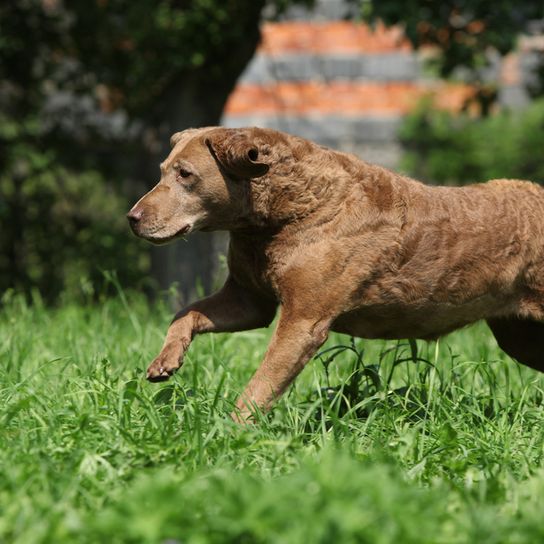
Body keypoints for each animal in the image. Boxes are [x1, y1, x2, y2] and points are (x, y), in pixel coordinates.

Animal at [126, 126, 544, 420]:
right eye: (162, 171)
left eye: (186, 174)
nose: (131, 218)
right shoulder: (248, 300)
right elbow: (186, 313)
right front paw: (165, 361)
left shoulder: (303, 320)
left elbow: (261, 384)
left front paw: (230, 434)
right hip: (518, 335)